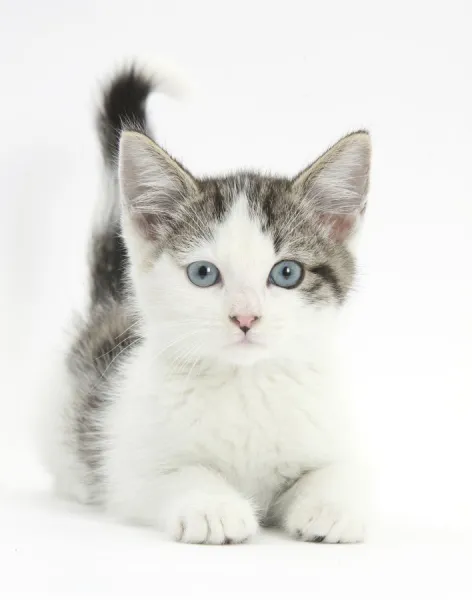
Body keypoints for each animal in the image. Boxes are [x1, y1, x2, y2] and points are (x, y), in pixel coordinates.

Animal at [38, 65, 370, 544]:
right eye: (203, 273)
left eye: (287, 273)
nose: (245, 316)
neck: (245, 383)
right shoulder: (127, 466)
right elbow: (176, 473)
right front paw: (213, 506)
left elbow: (338, 469)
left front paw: (331, 504)